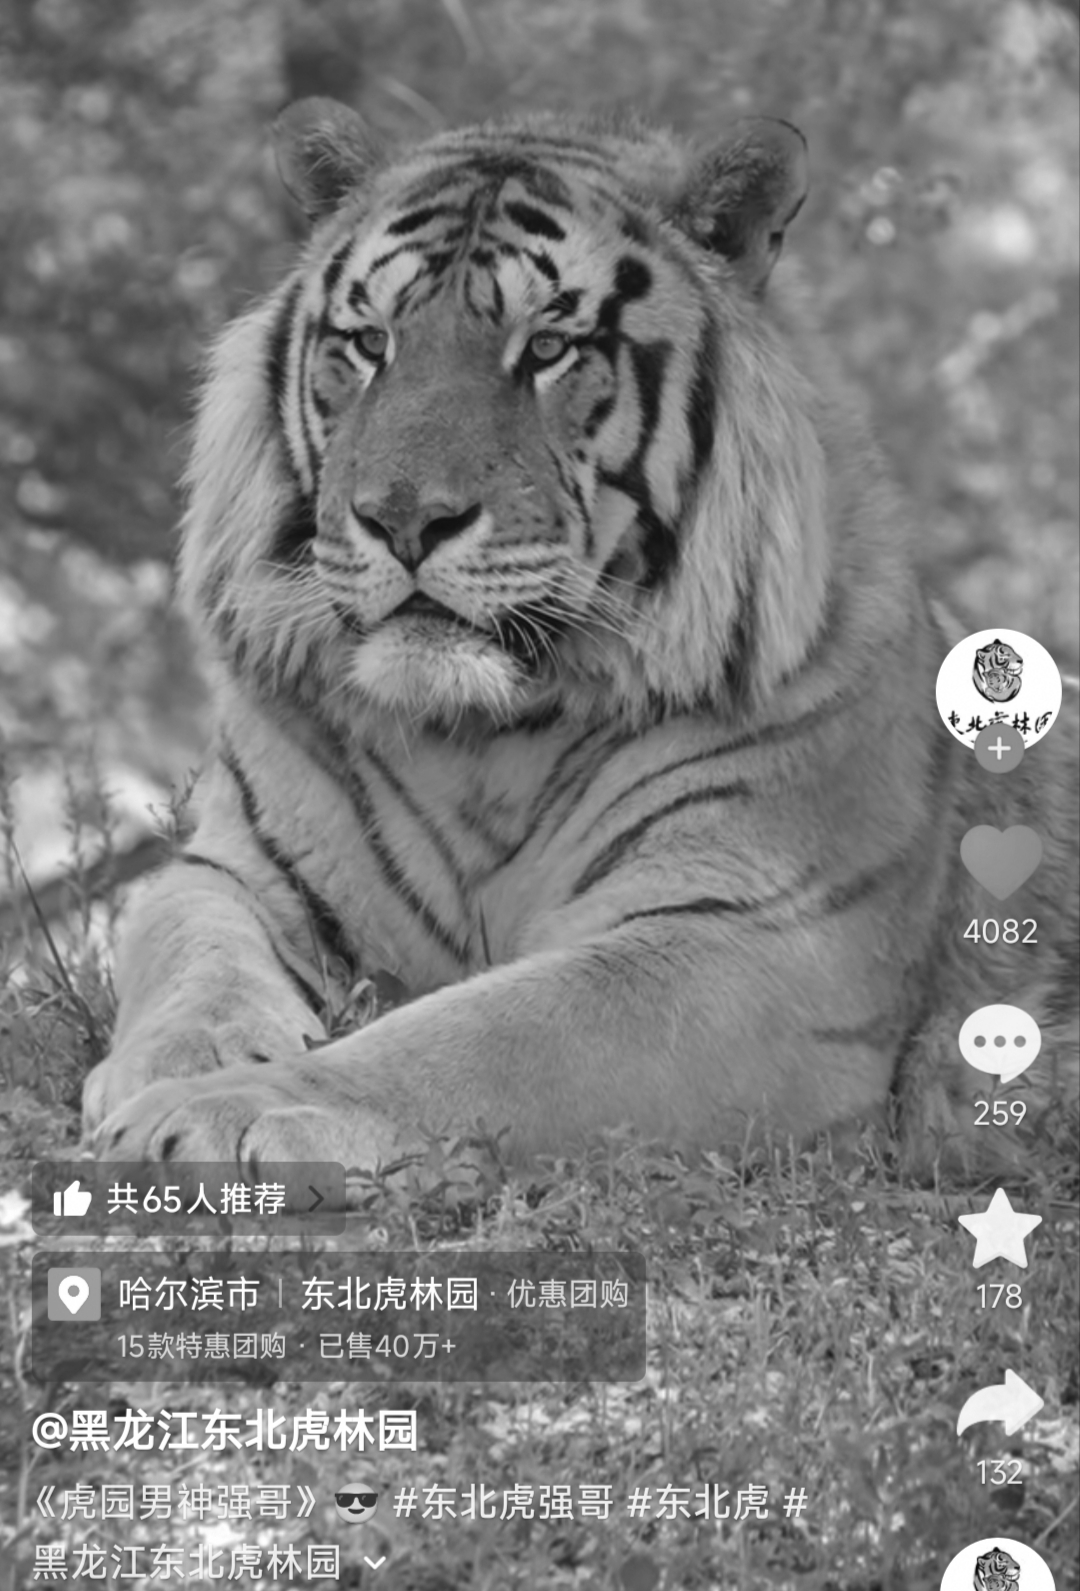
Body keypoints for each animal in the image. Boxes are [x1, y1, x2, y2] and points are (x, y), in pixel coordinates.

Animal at [83, 97, 1079, 1182]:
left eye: (549, 347)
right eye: (370, 341)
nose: (404, 519)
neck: (476, 740)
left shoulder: (759, 943)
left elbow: (474, 1041)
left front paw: (221, 1110)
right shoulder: (239, 866)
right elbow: (189, 957)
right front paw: (172, 1067)